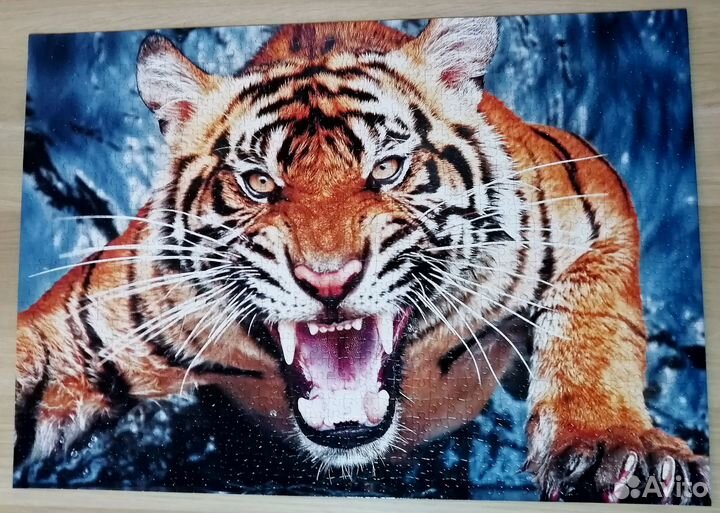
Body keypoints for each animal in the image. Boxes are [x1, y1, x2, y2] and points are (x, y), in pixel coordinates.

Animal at [14, 17, 709, 503]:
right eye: (259, 183)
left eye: (388, 169)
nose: (329, 280)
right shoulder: (87, 327)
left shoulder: (590, 194)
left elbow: (596, 317)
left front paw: (616, 447)